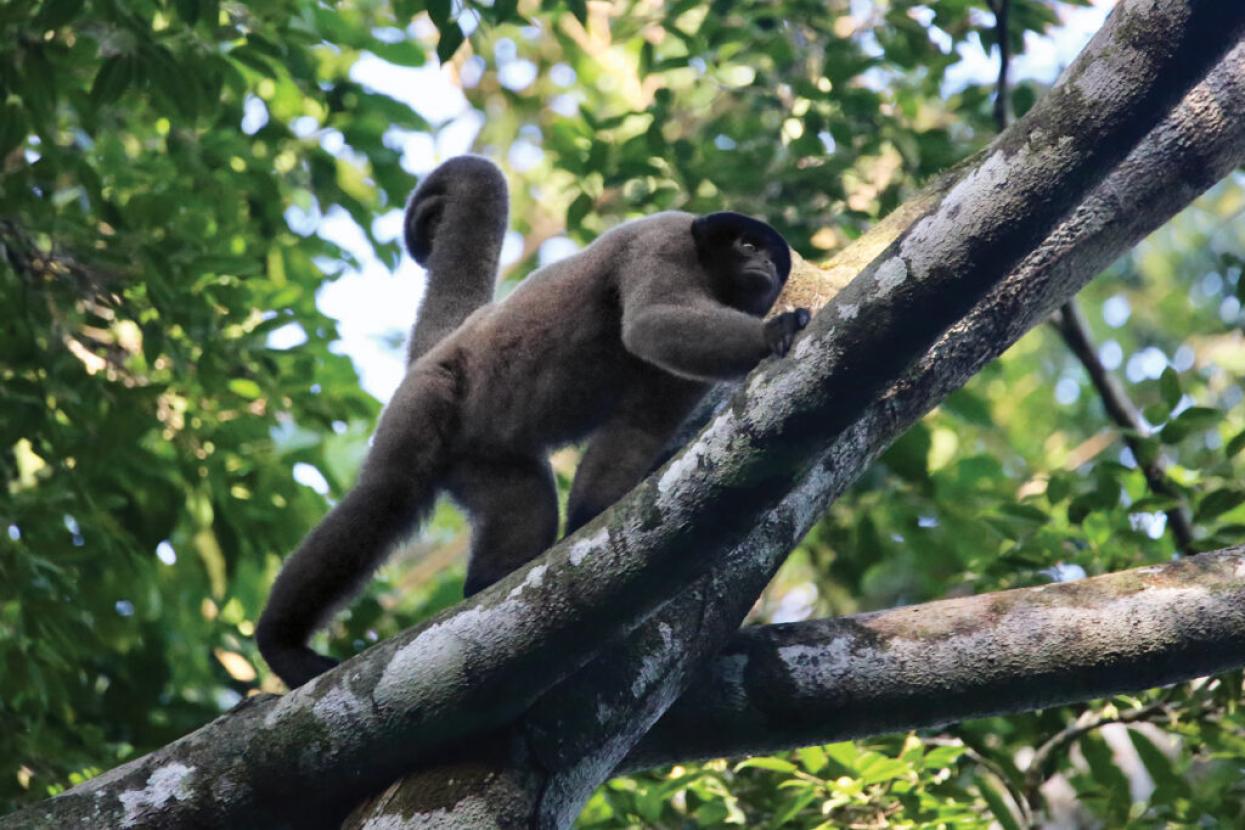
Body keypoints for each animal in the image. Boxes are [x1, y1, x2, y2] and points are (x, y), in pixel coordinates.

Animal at [256, 155, 810, 689]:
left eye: (769, 254)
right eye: (747, 244)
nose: (765, 262)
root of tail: (446, 342)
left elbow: (637, 427)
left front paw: (595, 515)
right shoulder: (664, 240)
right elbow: (652, 322)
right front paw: (773, 332)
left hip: (482, 459)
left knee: (528, 515)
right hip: (429, 395)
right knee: (387, 493)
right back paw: (280, 645)